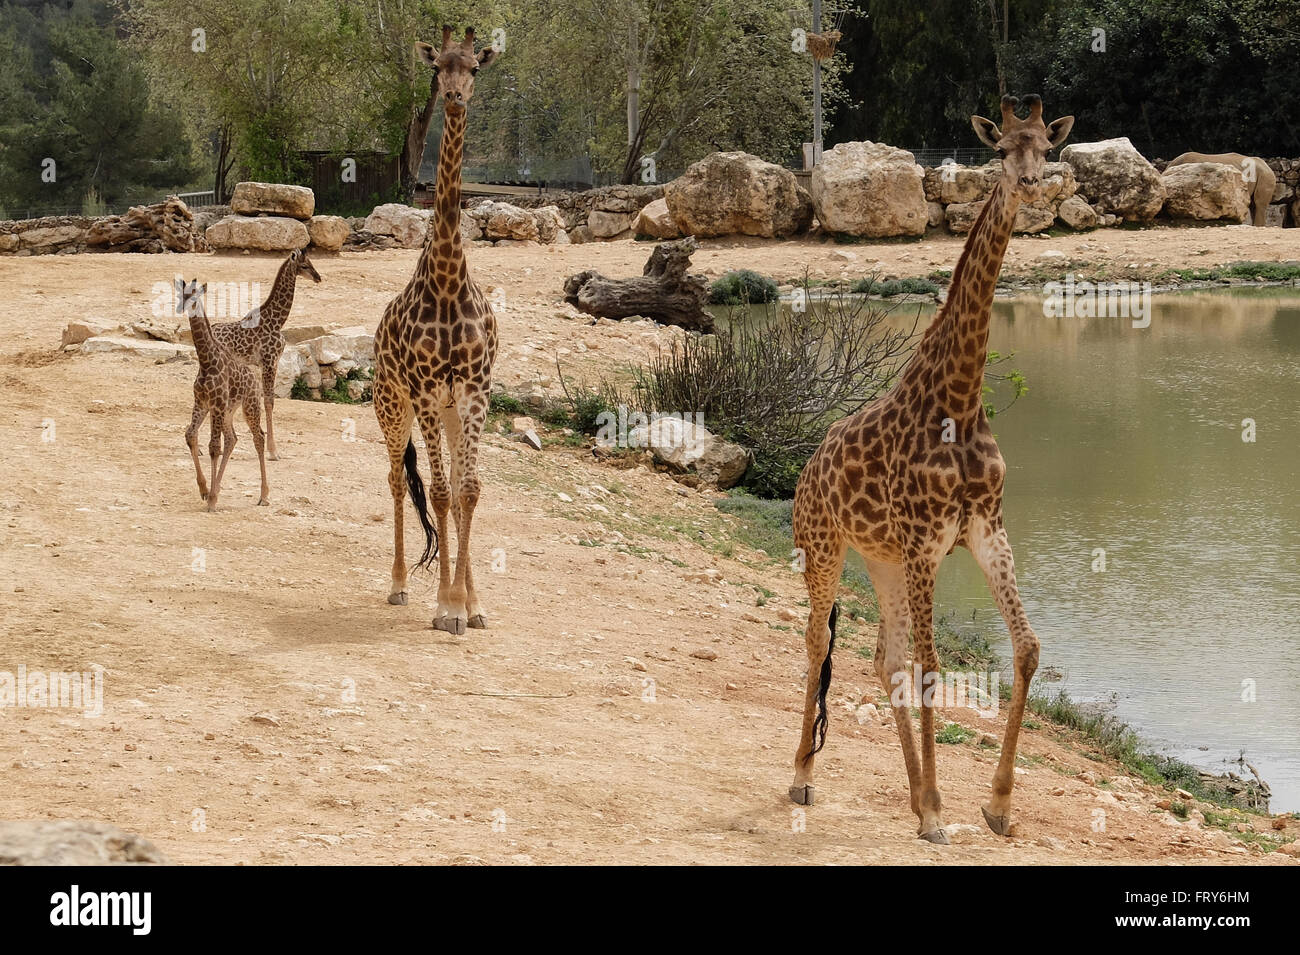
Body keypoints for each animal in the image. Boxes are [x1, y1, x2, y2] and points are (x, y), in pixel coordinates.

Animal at [179, 278, 270, 509]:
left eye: (195, 295)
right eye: (181, 294)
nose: (182, 308)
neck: (206, 360)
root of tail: (254, 377)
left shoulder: (216, 404)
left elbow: (213, 447)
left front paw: (211, 500)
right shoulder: (202, 402)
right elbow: (190, 435)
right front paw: (205, 490)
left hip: (249, 405)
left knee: (258, 437)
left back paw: (264, 496)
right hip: (229, 410)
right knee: (232, 439)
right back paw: (218, 488)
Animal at [213, 248, 322, 462]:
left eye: (312, 262)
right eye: (305, 265)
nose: (318, 278)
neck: (277, 321)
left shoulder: (274, 363)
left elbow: (270, 401)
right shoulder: (269, 362)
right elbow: (269, 402)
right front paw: (273, 451)